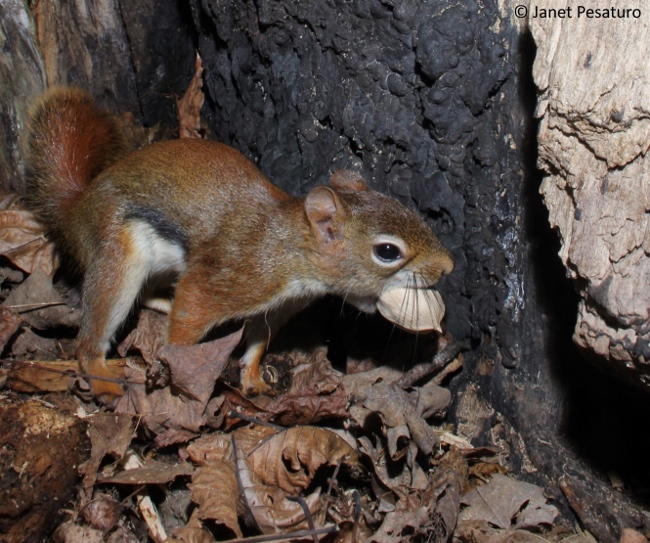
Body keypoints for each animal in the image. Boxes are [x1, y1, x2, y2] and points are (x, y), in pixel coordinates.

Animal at [27, 88, 454, 404]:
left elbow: (258, 340)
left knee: (148, 294)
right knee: (94, 330)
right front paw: (178, 369)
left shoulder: (278, 306)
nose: (448, 266)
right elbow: (188, 318)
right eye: (387, 252)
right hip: (117, 254)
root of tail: (77, 209)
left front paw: (253, 378)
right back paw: (101, 374)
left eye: (405, 208)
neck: (289, 248)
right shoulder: (233, 276)